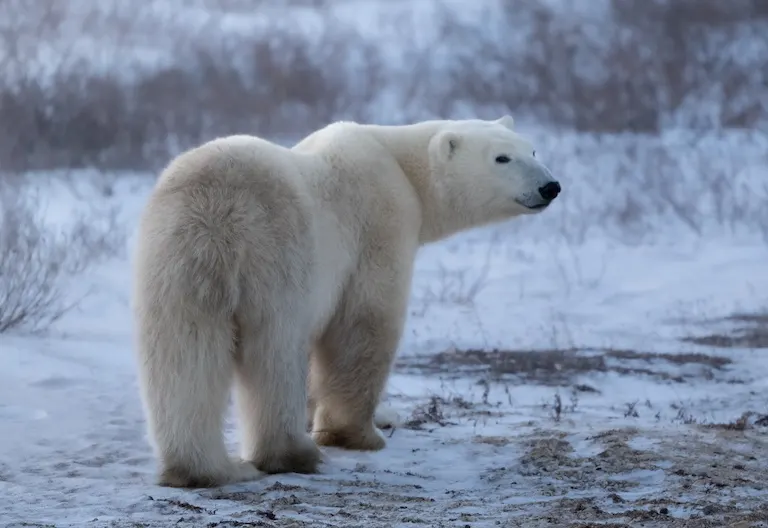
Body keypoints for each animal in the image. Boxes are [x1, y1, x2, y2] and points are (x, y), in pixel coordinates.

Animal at [131, 115, 561, 488]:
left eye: (532, 149)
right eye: (502, 158)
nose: (550, 187)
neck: (401, 164)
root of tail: (218, 205)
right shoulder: (380, 223)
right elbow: (364, 324)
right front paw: (357, 434)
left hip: (176, 261)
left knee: (182, 353)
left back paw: (203, 469)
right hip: (278, 253)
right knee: (276, 350)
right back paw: (291, 454)